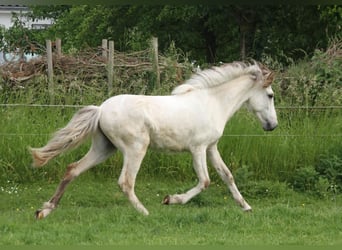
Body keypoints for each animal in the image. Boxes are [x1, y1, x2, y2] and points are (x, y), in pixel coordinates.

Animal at [30, 61, 278, 219]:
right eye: (270, 95)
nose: (272, 126)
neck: (214, 103)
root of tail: (100, 110)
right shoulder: (197, 148)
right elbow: (205, 181)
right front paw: (170, 199)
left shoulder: (211, 148)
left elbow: (227, 176)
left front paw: (246, 207)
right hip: (135, 148)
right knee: (126, 182)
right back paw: (145, 213)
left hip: (104, 148)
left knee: (73, 170)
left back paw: (44, 210)